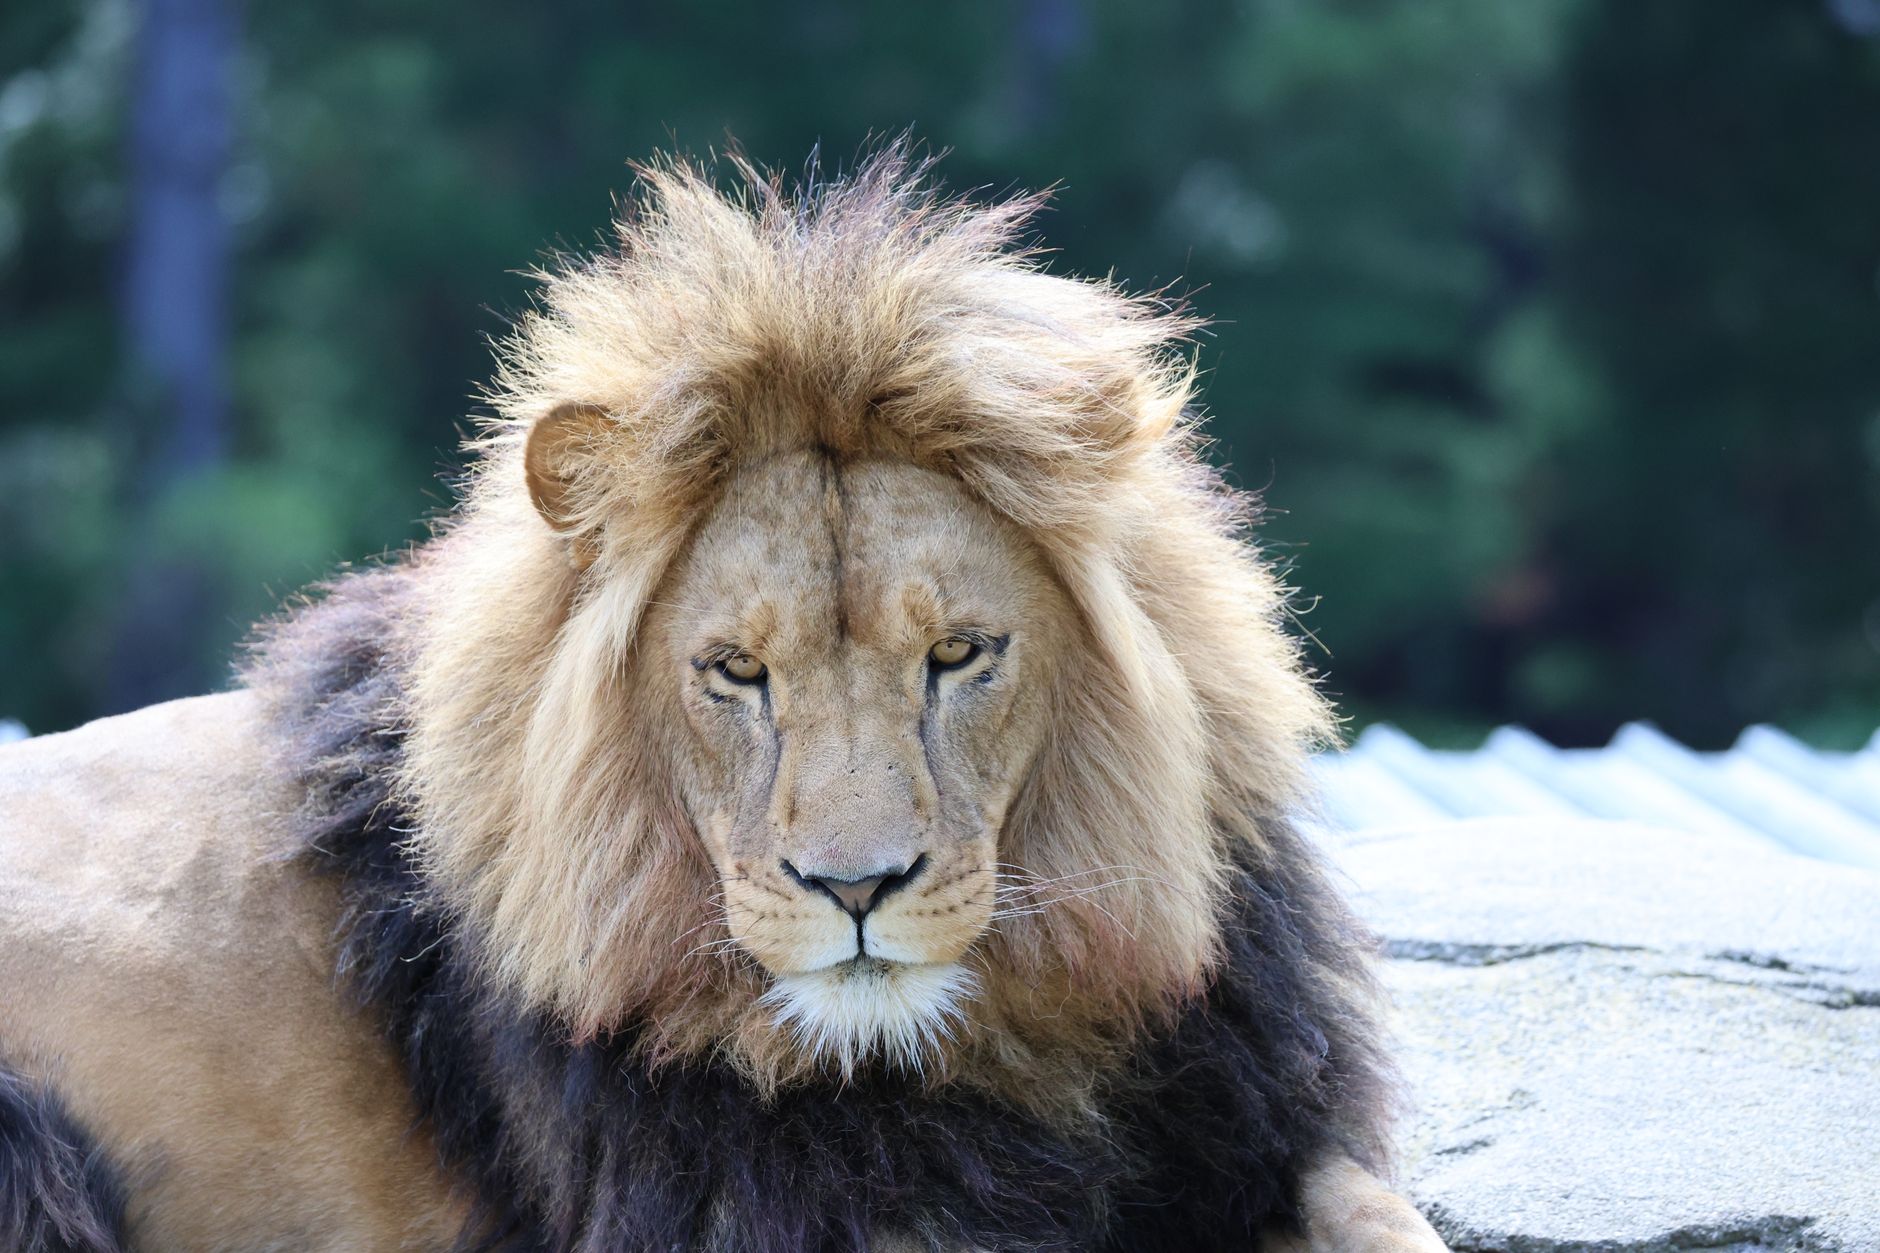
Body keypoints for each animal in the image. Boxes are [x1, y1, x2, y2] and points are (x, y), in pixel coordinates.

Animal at [0, 149, 1449, 1252]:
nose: (855, 888)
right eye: (736, 672)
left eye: (958, 654)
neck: (992, 1056)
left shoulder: (1249, 1122)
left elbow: (1377, 1210)